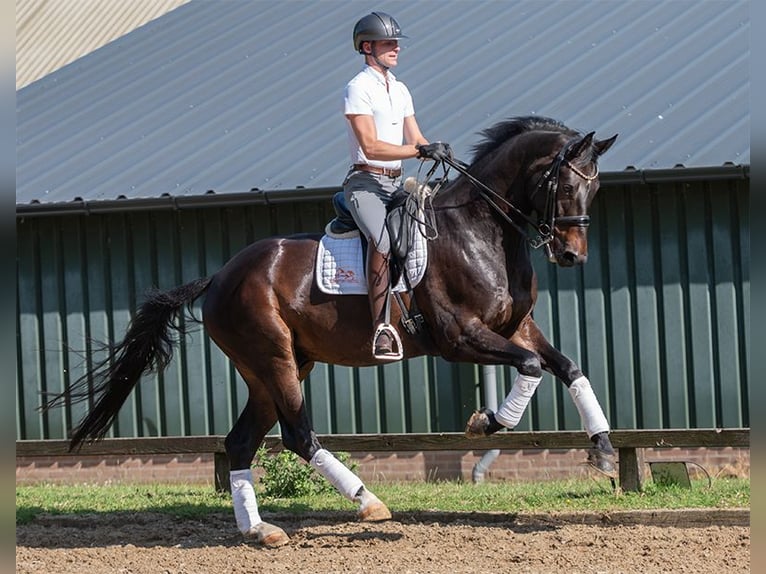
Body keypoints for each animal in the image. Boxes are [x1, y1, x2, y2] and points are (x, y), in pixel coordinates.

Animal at [43, 115, 617, 547]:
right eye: (567, 184)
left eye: (596, 189)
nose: (572, 256)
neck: (482, 230)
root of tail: (221, 275)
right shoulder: (460, 338)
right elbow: (533, 367)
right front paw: (487, 423)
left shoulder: (516, 327)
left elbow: (568, 368)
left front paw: (604, 451)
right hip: (273, 358)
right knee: (298, 434)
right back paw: (368, 502)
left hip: (276, 368)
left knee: (241, 442)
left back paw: (261, 531)